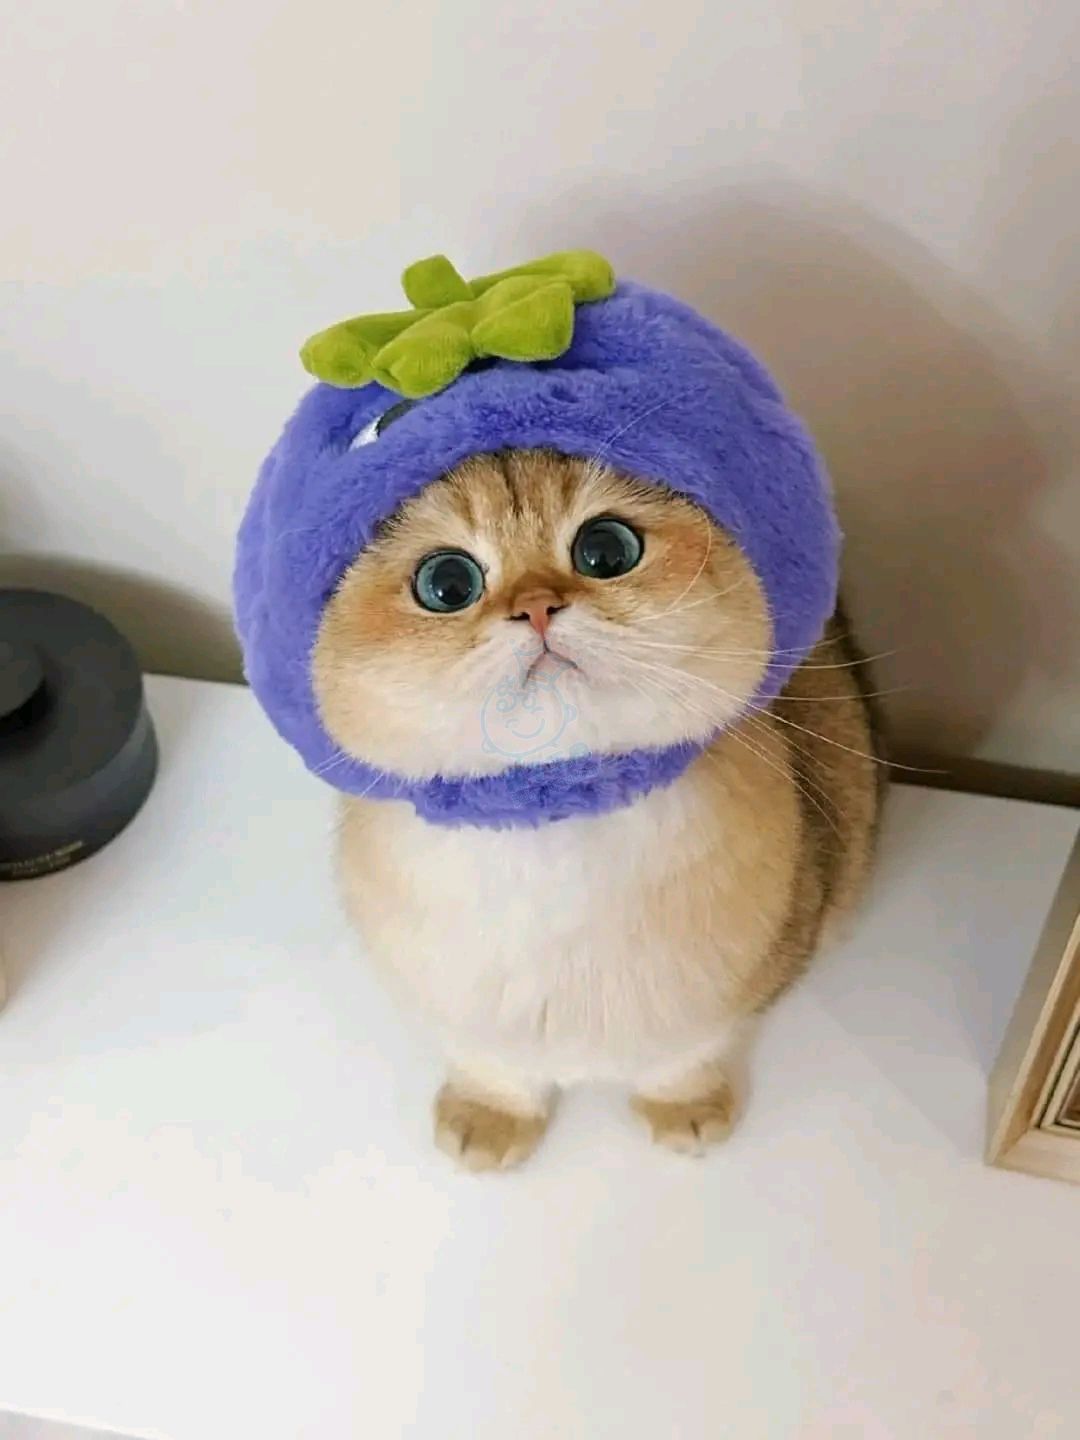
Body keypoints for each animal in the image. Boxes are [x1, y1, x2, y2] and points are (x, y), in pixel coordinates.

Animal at [313, 448, 883, 1170]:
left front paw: (686, 1109)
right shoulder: (461, 1011)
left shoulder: (734, 993)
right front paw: (489, 1117)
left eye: (606, 551)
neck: (556, 815)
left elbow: (683, 1058)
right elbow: (492, 1065)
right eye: (446, 583)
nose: (535, 608)